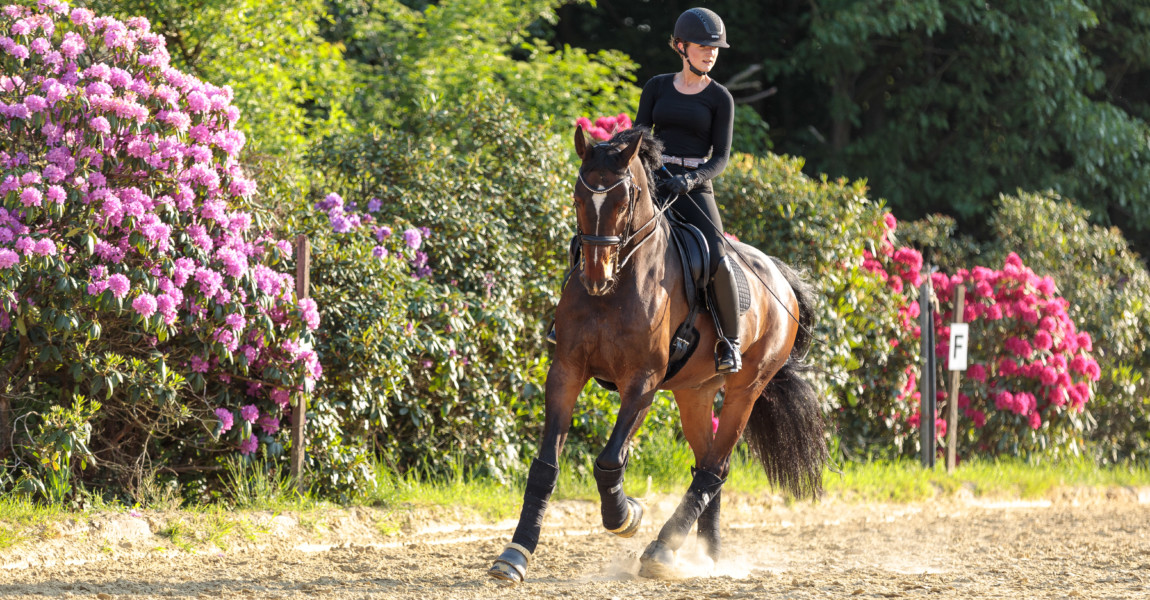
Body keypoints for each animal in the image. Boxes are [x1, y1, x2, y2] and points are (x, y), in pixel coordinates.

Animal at [487, 124, 828, 579]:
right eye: (578, 198)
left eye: (623, 200)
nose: (596, 277)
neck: (616, 288)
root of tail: (780, 276)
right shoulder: (566, 370)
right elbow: (545, 465)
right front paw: (515, 553)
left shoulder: (642, 381)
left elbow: (609, 460)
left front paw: (626, 515)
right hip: (694, 393)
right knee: (708, 464)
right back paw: (707, 555)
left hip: (746, 390)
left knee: (715, 466)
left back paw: (662, 549)